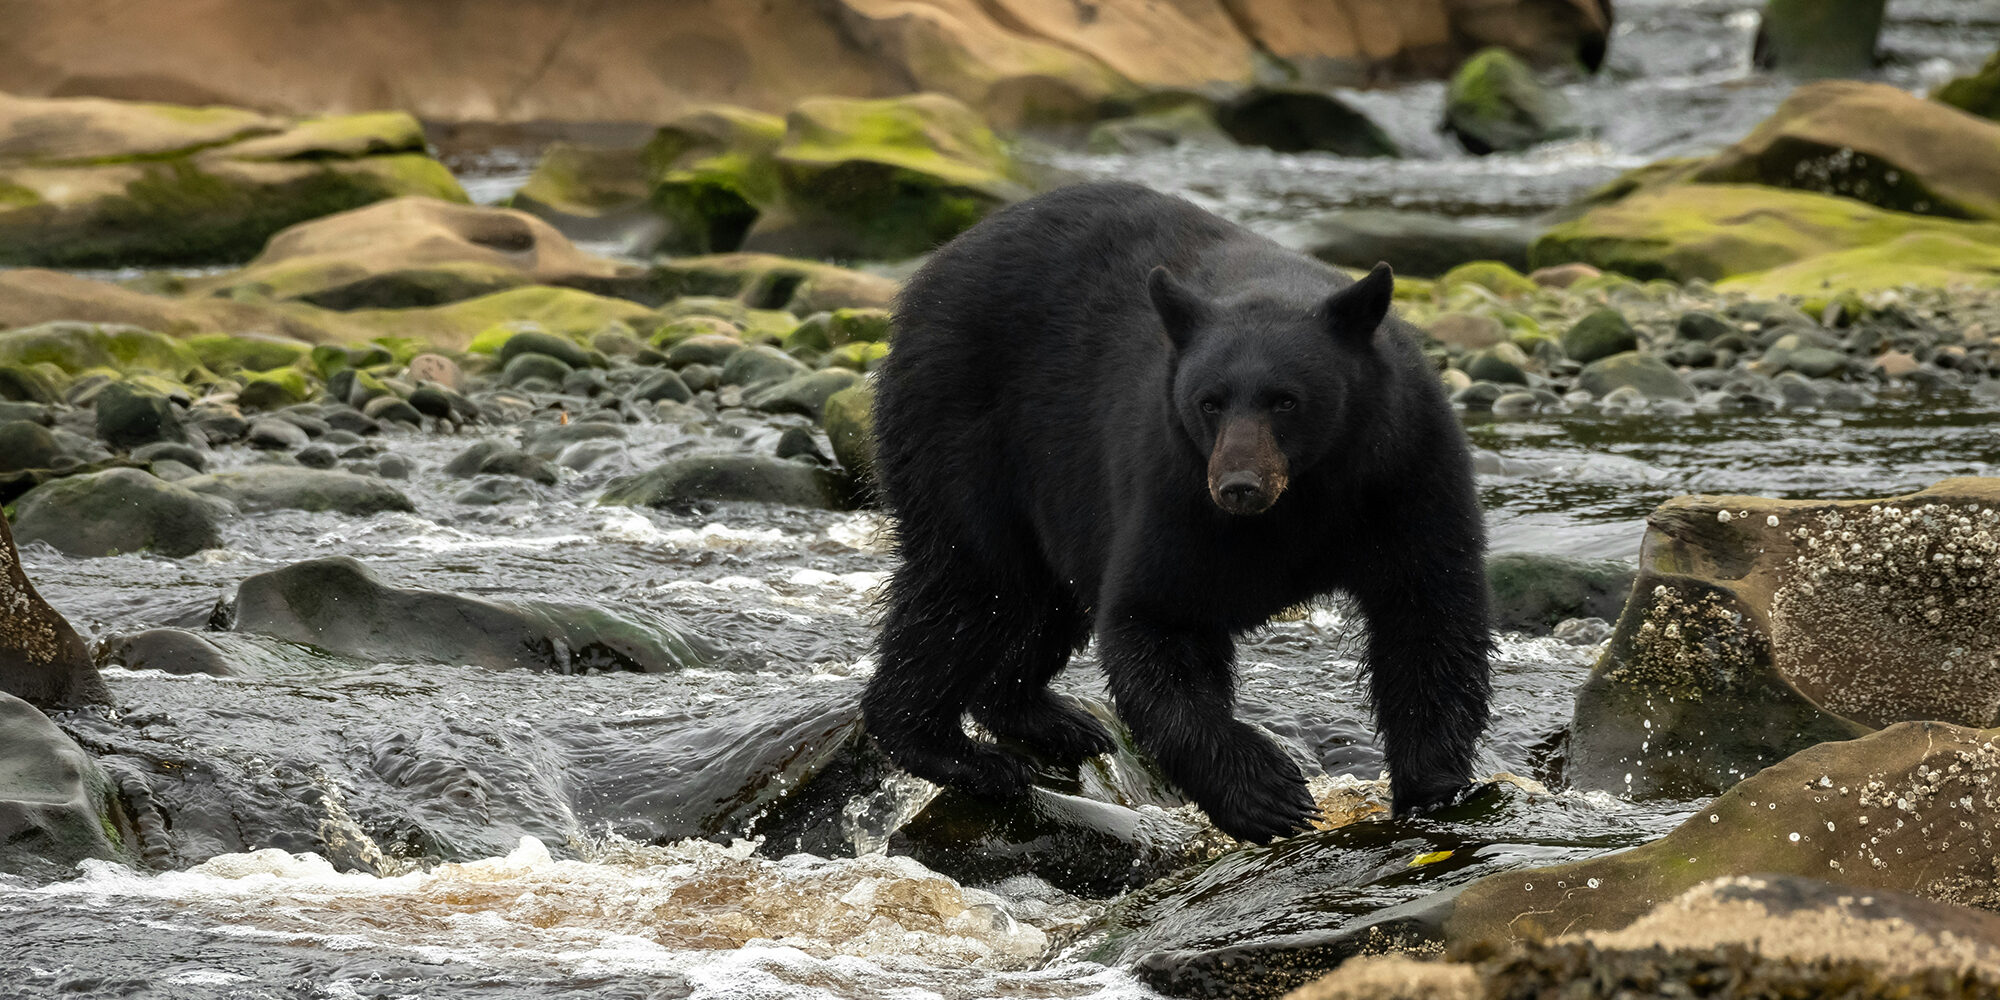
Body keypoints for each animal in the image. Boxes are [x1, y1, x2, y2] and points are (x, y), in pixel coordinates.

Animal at [862, 181, 1492, 843]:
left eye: (1286, 401)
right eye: (1209, 401)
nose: (1239, 486)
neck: (1304, 496)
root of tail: (937, 263)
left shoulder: (1405, 473)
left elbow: (1427, 613)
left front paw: (1434, 787)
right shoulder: (1177, 491)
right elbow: (1157, 616)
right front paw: (1266, 793)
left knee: (1036, 599)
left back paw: (1046, 718)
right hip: (961, 427)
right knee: (973, 585)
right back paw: (955, 752)